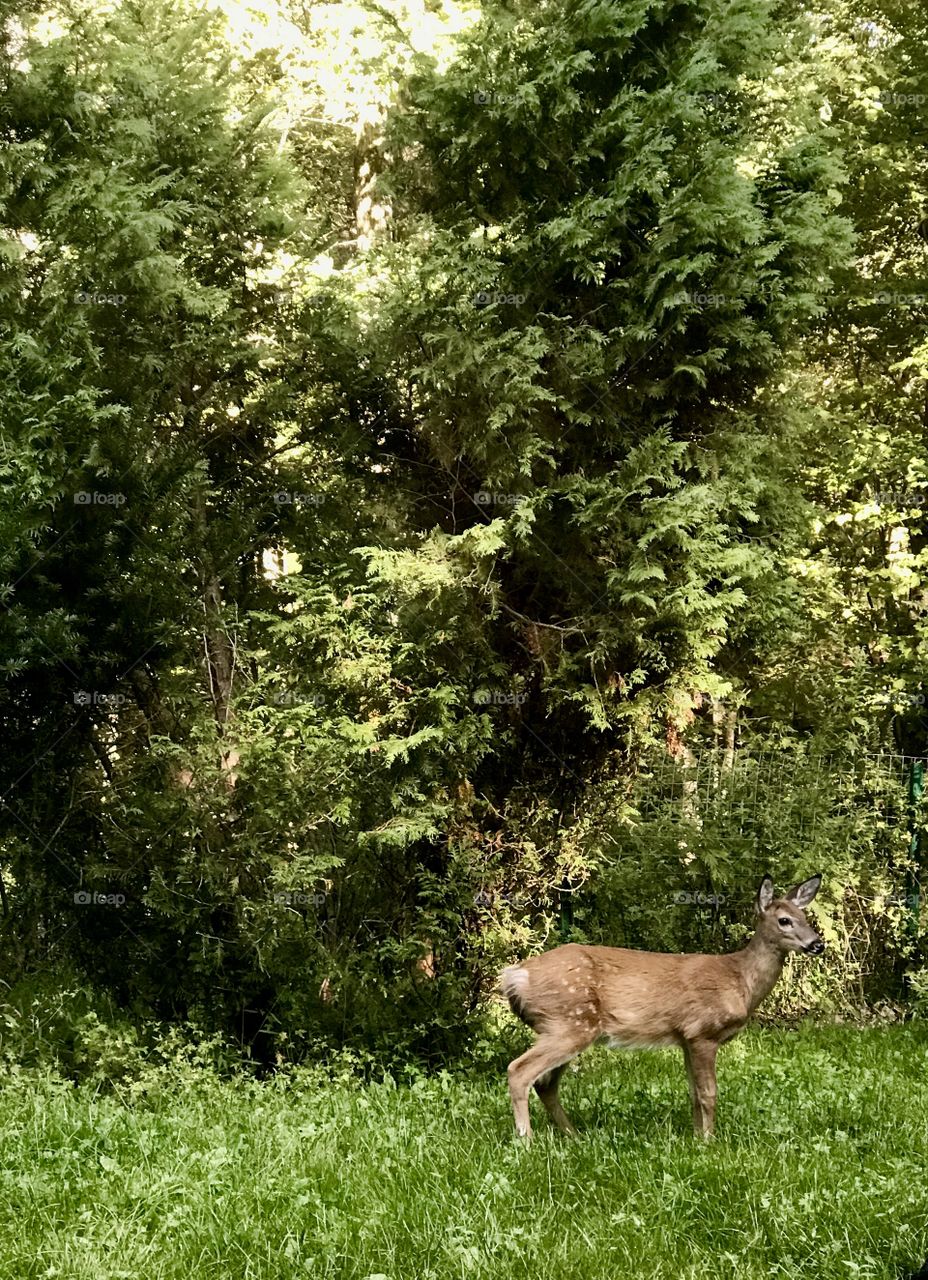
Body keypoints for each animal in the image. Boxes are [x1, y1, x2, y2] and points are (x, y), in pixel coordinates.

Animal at [500, 873, 824, 1141]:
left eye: (805, 916)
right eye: (784, 920)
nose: (817, 944)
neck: (740, 981)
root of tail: (516, 976)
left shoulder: (686, 1038)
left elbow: (694, 1093)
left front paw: (697, 1138)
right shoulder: (703, 1032)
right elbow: (709, 1093)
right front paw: (710, 1142)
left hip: (567, 1027)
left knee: (545, 1084)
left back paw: (574, 1136)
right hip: (570, 1023)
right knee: (519, 1071)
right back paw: (527, 1141)